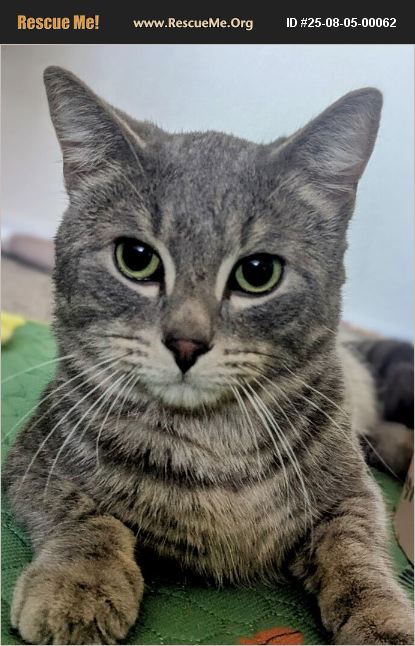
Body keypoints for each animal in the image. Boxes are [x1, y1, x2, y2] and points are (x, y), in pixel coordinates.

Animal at [3, 66, 413, 645]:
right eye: (136, 258)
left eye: (258, 272)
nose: (186, 342)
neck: (215, 442)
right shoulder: (33, 460)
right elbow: (84, 515)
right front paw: (78, 585)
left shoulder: (353, 492)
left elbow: (358, 552)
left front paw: (384, 620)